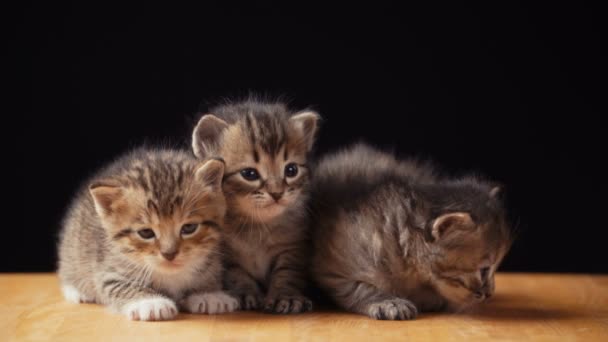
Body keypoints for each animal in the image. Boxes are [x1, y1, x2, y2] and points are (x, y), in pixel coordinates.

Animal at [56, 148, 238, 320]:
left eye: (189, 228)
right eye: (146, 233)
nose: (169, 254)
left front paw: (209, 294)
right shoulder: (108, 269)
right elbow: (118, 285)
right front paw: (150, 302)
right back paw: (76, 290)